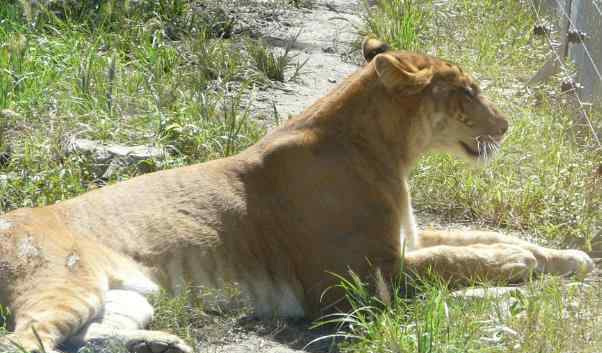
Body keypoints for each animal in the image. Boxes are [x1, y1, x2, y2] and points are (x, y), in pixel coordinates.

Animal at [0, 38, 592, 352]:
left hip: (129, 300)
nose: (508, 125)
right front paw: (515, 264)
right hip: (65, 281)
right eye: (467, 91)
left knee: (93, 338)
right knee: (24, 339)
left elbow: (480, 235)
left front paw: (566, 256)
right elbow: (455, 260)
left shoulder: (408, 235)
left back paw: (166, 344)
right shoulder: (355, 280)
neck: (391, 152)